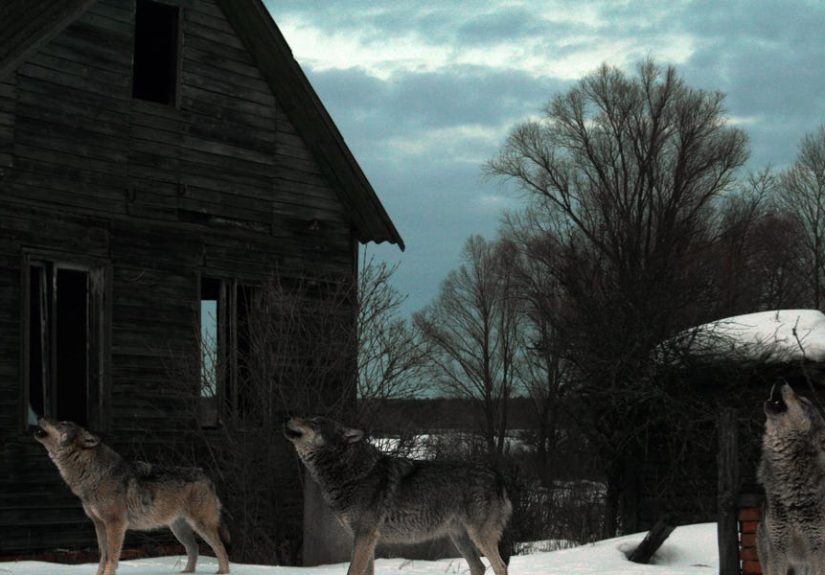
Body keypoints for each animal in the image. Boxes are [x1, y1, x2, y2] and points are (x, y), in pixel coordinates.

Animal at [34, 418, 230, 575]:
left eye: (62, 423)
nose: (42, 417)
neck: (94, 473)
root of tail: (206, 476)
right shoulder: (99, 524)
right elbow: (103, 556)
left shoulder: (116, 524)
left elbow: (112, 558)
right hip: (179, 529)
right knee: (194, 548)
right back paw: (187, 572)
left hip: (201, 525)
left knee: (220, 547)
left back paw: (222, 572)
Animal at [284, 416, 512, 575]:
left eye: (315, 422)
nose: (289, 417)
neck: (351, 472)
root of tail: (497, 475)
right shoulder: (367, 540)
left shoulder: (365, 536)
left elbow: (352, 571)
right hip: (461, 539)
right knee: (480, 566)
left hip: (479, 537)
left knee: (500, 566)